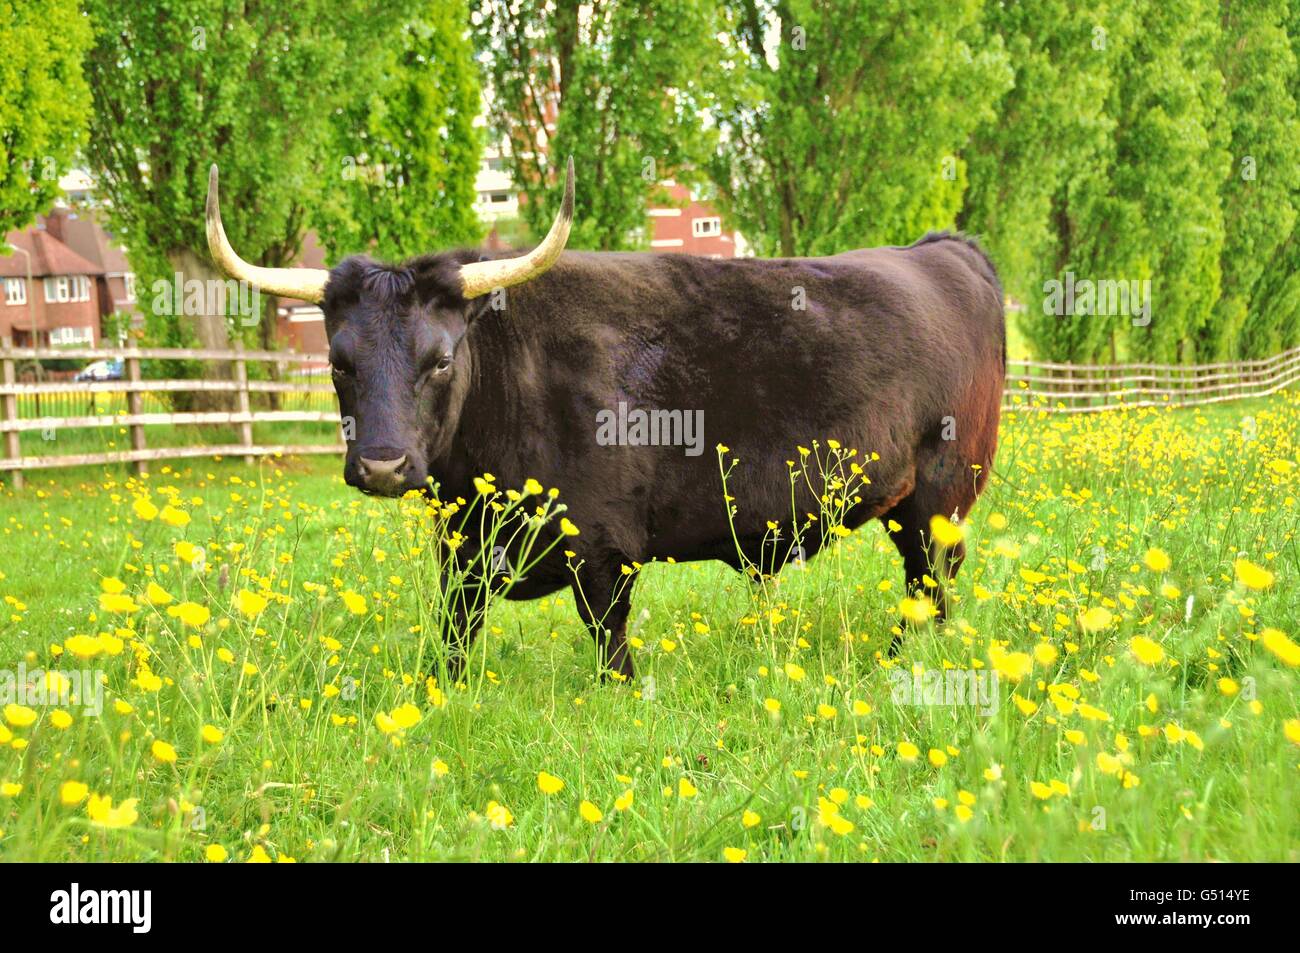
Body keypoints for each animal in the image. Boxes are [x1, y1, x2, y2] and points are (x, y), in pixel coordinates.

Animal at [322, 234, 1003, 681]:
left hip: (938, 498)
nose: (381, 465)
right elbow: (455, 632)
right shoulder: (462, 548)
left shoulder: (602, 548)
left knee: (930, 580)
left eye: (440, 360)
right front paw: (445, 693)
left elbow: (609, 637)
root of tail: (941, 249)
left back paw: (906, 662)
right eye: (338, 363)